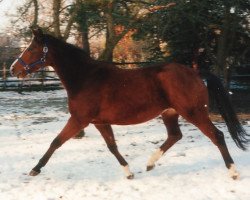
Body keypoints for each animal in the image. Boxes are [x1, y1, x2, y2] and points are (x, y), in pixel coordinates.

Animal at [9, 27, 248, 180]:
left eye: (31, 49)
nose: (13, 69)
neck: (85, 77)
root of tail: (196, 72)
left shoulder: (79, 120)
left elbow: (56, 142)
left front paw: (34, 169)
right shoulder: (99, 122)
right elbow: (112, 147)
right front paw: (129, 172)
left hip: (194, 112)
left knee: (217, 136)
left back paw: (233, 171)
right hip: (170, 113)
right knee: (175, 136)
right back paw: (150, 164)